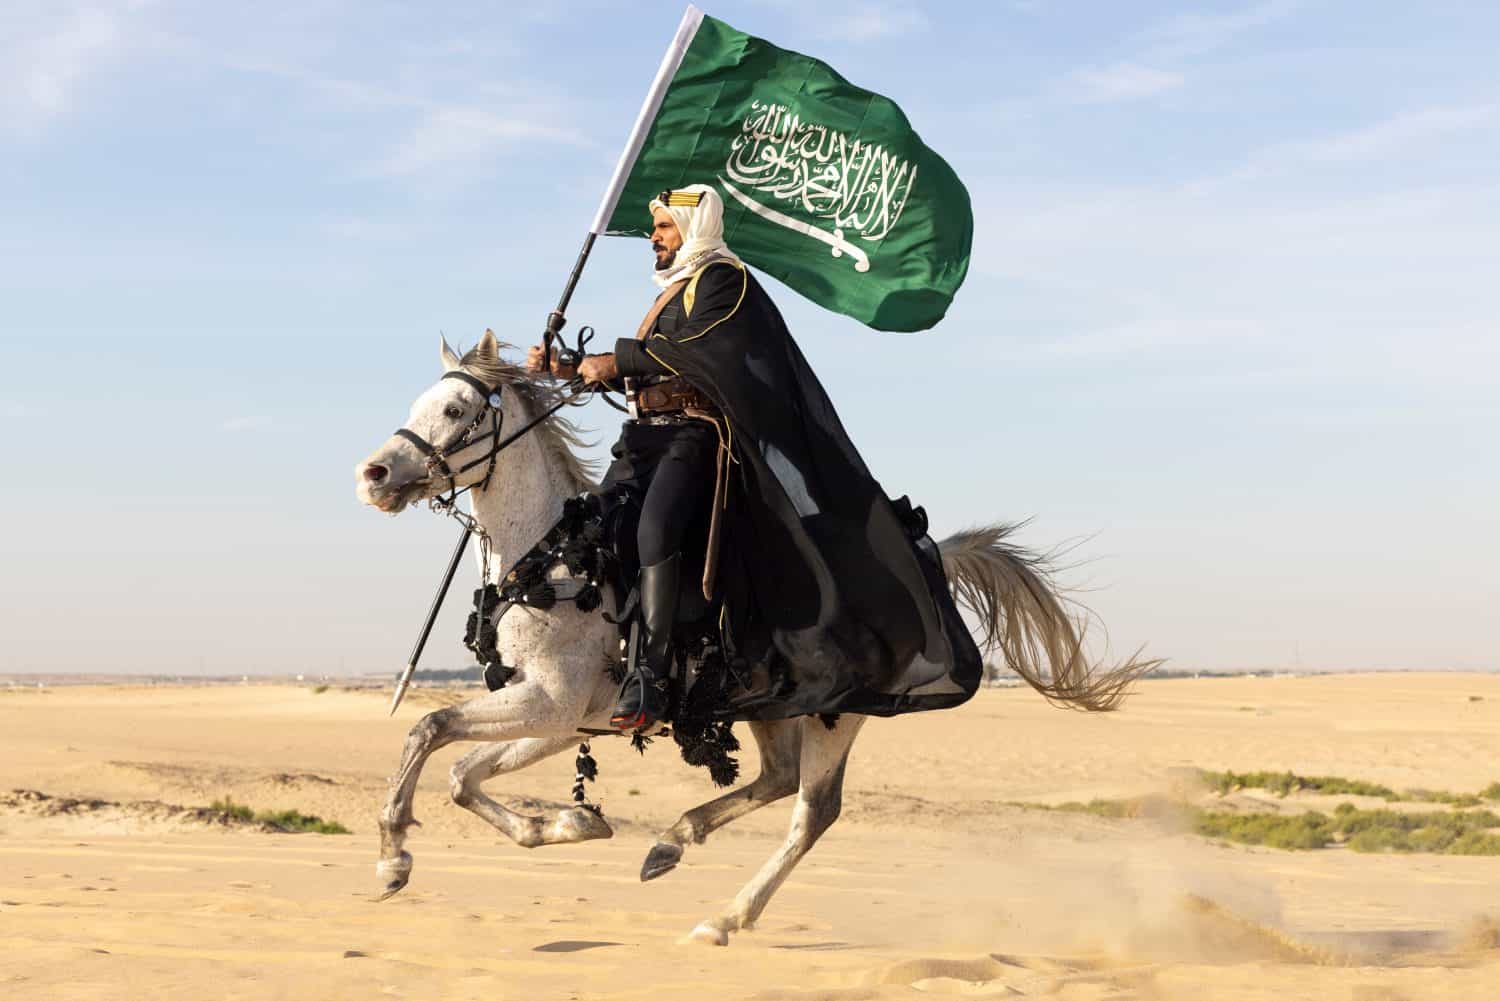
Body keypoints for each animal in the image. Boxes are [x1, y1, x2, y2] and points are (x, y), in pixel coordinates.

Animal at [357, 330, 1152, 948]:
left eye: (456, 409)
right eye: (417, 405)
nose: (375, 474)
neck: (555, 552)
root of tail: (925, 560)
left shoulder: (550, 704)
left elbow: (429, 729)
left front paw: (394, 856)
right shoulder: (558, 719)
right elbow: (462, 774)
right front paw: (570, 822)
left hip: (839, 711)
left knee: (811, 811)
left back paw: (724, 915)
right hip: (770, 704)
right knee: (775, 779)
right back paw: (671, 840)